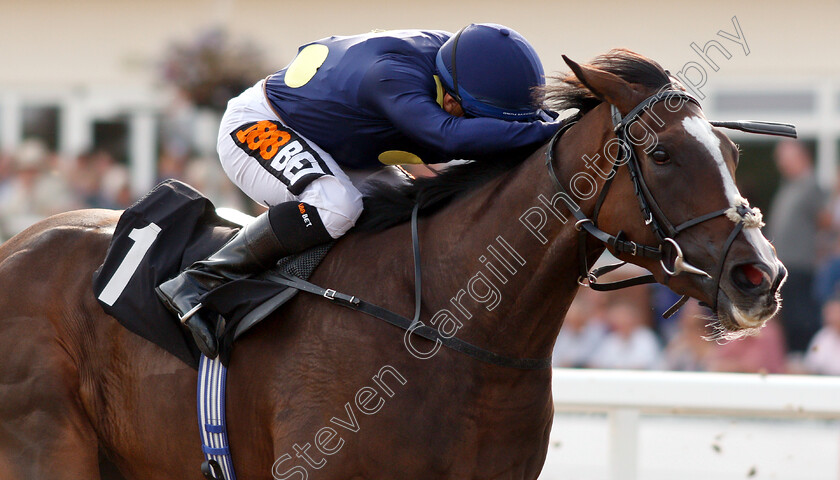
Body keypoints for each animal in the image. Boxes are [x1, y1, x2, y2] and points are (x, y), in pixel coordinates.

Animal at [0, 49, 788, 480]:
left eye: (733, 151)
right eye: (662, 154)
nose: (761, 276)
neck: (445, 333)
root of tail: (17, 245)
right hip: (48, 447)